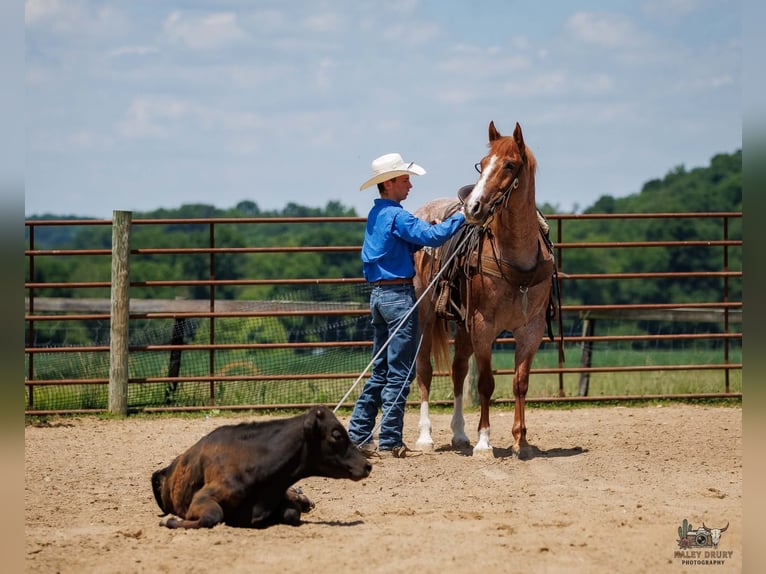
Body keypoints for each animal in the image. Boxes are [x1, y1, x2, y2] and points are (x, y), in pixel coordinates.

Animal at [412, 120, 555, 458]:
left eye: (510, 164)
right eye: (483, 163)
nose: (474, 207)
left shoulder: (530, 330)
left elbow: (519, 383)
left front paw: (521, 441)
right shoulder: (484, 326)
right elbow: (487, 383)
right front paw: (484, 442)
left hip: (463, 325)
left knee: (458, 370)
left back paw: (459, 433)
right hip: (425, 314)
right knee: (424, 369)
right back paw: (425, 437)